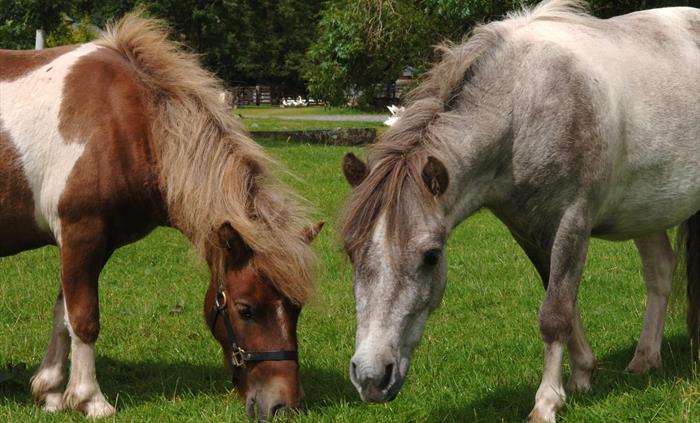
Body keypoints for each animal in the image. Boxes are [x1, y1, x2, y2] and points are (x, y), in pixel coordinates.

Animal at [0, 13, 321, 420]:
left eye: (296, 308)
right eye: (246, 309)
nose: (284, 405)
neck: (126, 121)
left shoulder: (94, 244)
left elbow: (64, 315)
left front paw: (51, 392)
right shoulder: (81, 232)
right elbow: (85, 319)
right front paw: (91, 400)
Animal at [339, 1, 699, 421]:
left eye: (431, 257)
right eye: (350, 252)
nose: (371, 377)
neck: (523, 106)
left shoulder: (572, 223)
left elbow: (555, 314)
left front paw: (546, 402)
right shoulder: (529, 233)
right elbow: (564, 302)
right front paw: (581, 376)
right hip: (645, 213)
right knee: (660, 270)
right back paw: (645, 359)